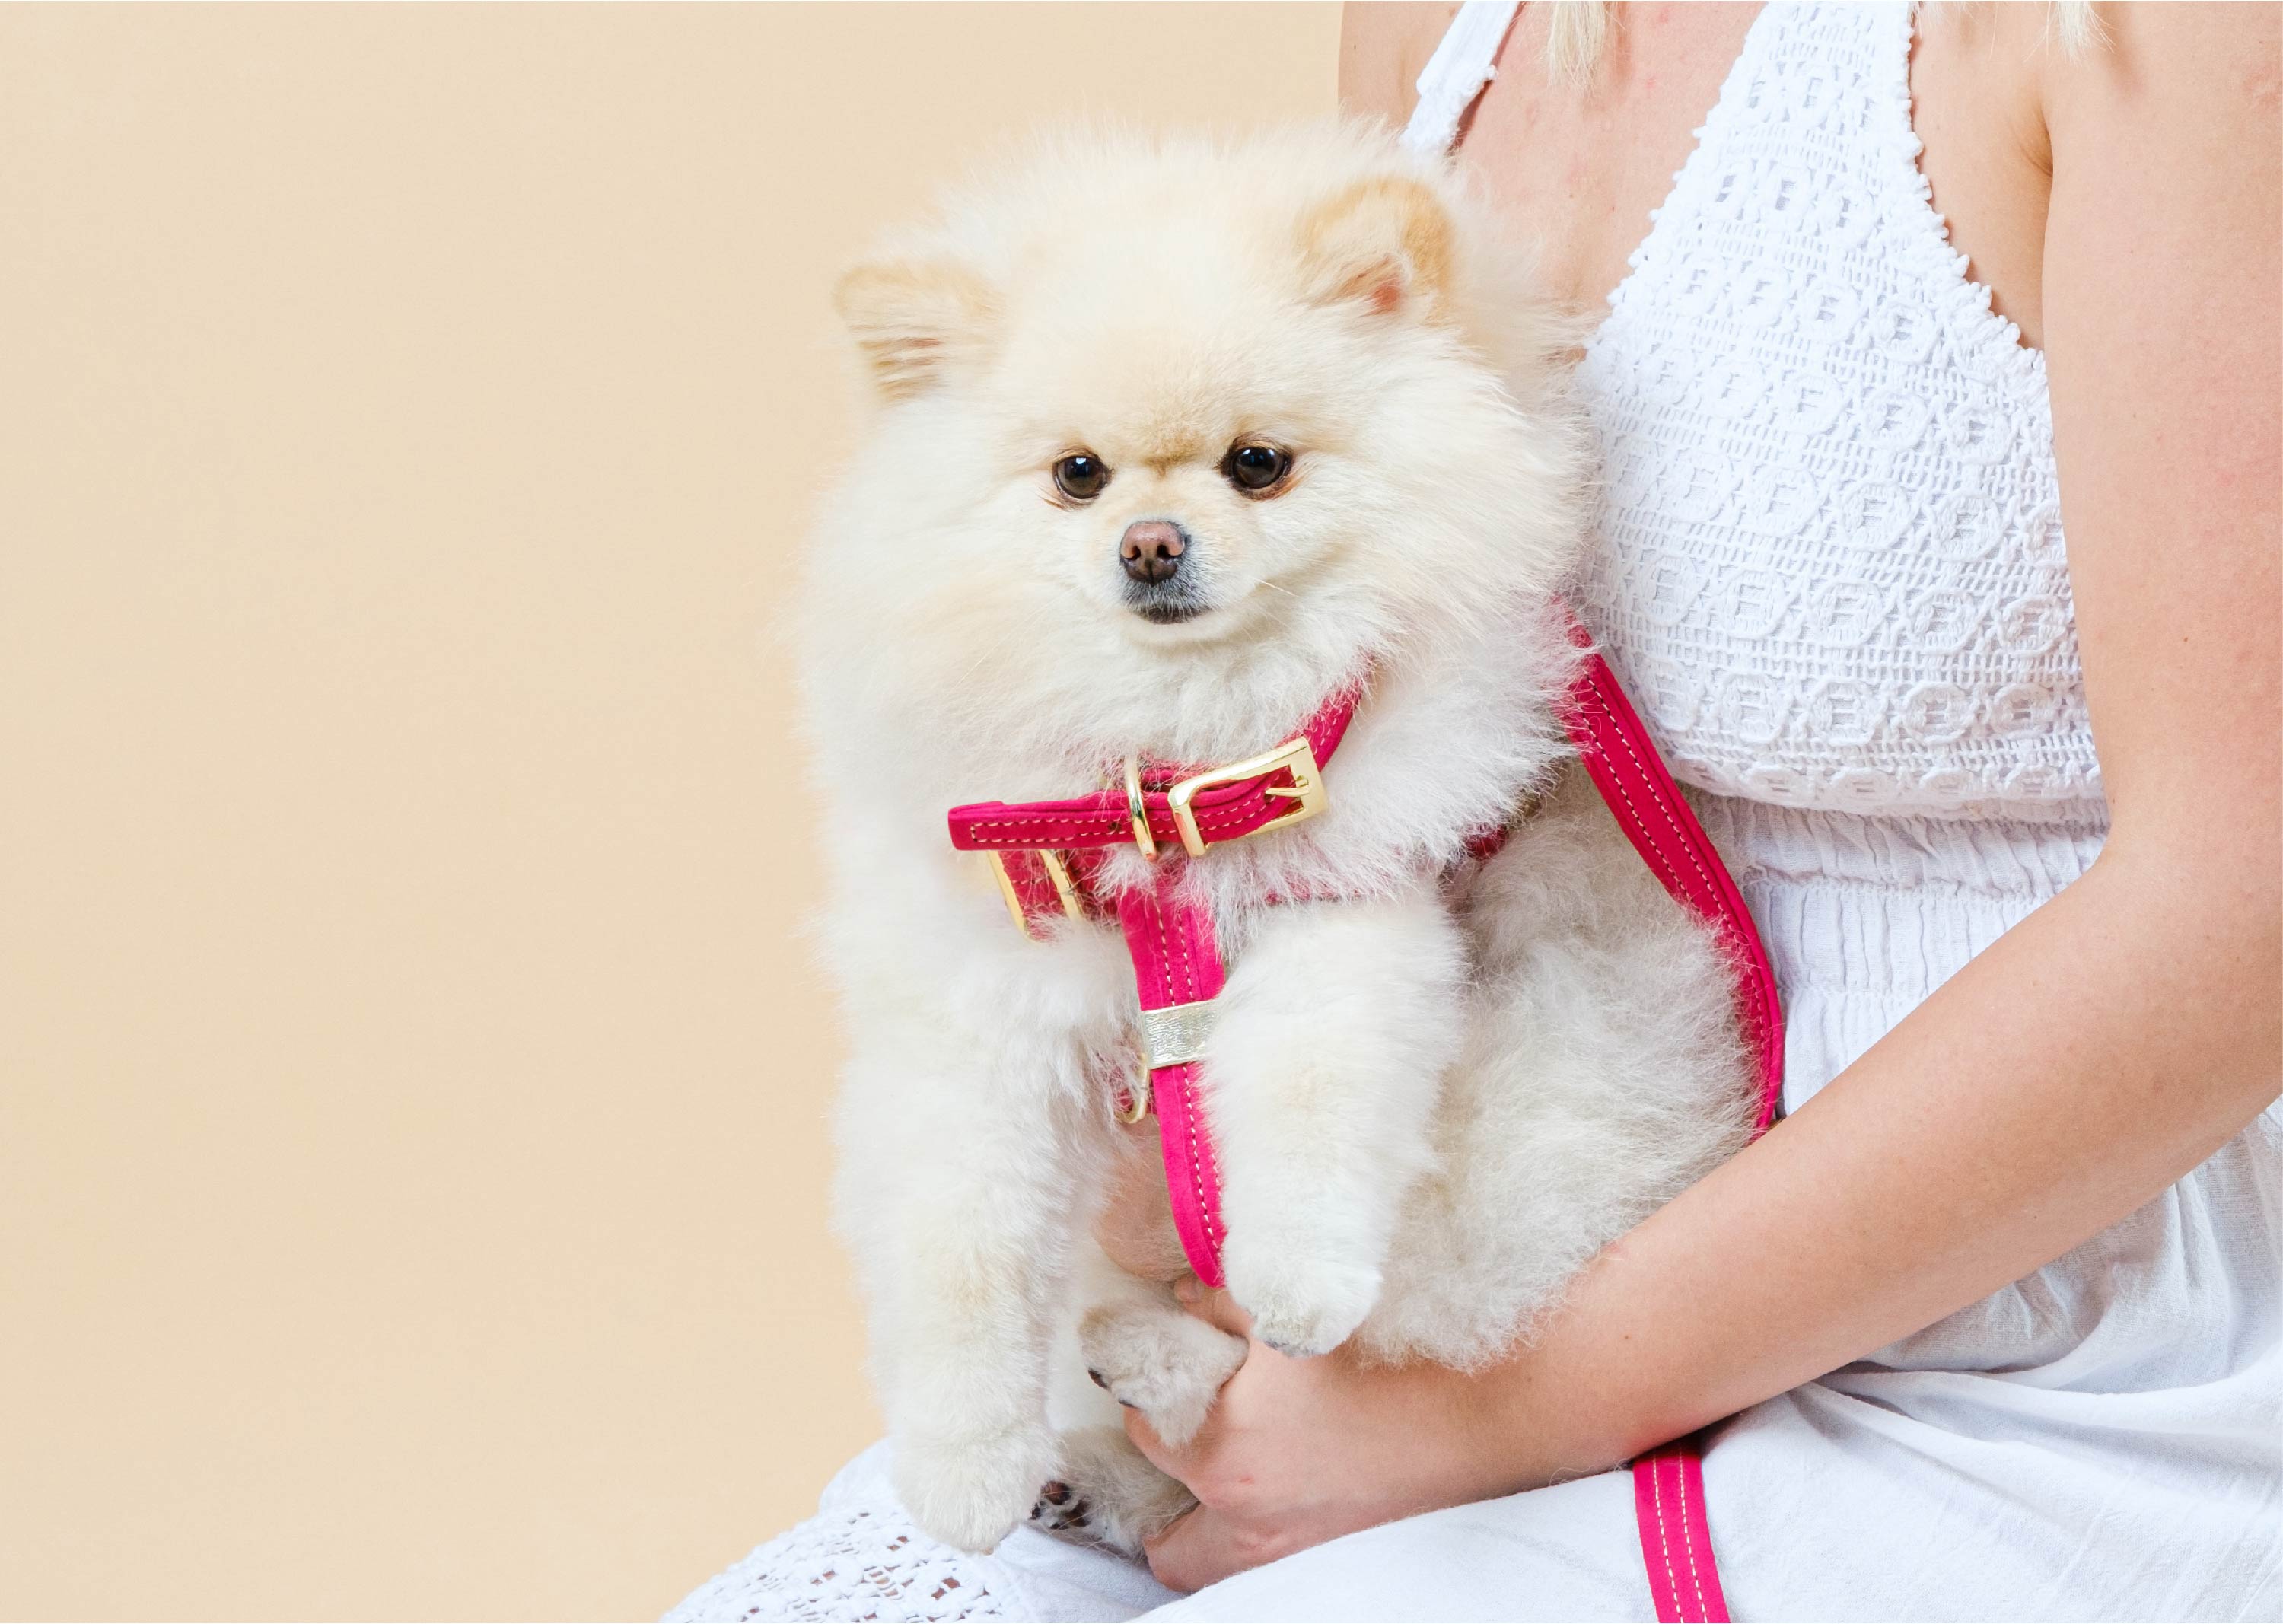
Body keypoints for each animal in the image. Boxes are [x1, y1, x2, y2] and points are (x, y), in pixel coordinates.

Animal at [794, 123, 1753, 1562]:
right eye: (1078, 473)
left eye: (1260, 462)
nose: (1152, 544)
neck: (1170, 778)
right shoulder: (982, 999)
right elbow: (959, 1241)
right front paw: (964, 1468)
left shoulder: (1344, 906)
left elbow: (1310, 1103)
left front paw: (1297, 1277)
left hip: (1553, 1100)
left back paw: (1153, 1372)